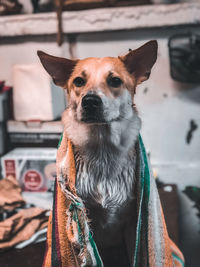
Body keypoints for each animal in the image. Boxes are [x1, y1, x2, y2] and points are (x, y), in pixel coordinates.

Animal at [38, 40, 158, 267]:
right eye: (78, 81)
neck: (103, 148)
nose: (90, 101)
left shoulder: (132, 224)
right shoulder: (87, 224)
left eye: (115, 80)